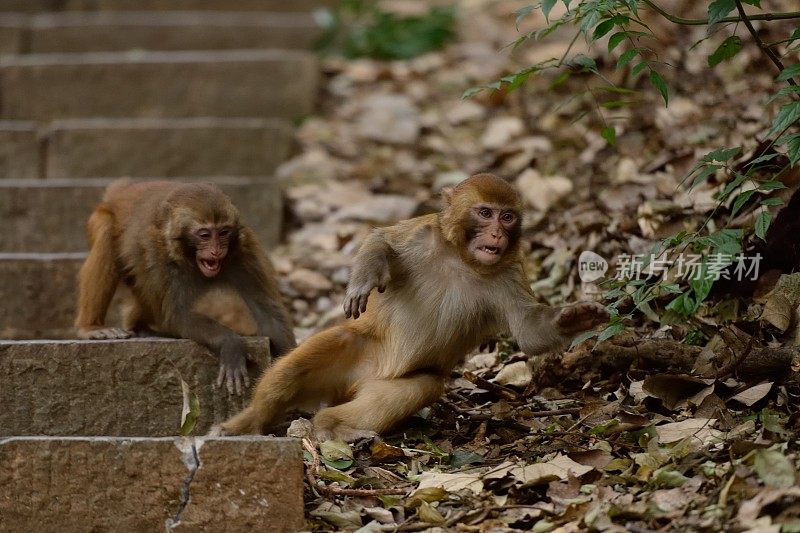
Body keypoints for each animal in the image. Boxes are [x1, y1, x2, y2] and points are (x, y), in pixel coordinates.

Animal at [75, 181, 296, 392]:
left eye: (223, 232)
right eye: (205, 235)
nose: (216, 251)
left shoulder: (245, 251)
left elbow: (268, 313)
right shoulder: (159, 256)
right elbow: (177, 317)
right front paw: (231, 344)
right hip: (101, 216)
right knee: (105, 232)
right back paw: (92, 327)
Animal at [214, 175, 608, 440]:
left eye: (507, 217)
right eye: (485, 213)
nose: (496, 234)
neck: (462, 259)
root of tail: (358, 380)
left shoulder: (508, 272)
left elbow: (528, 330)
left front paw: (576, 317)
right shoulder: (423, 235)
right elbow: (381, 239)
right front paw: (365, 278)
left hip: (386, 380)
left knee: (418, 388)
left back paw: (332, 425)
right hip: (354, 351)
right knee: (302, 365)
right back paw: (251, 421)